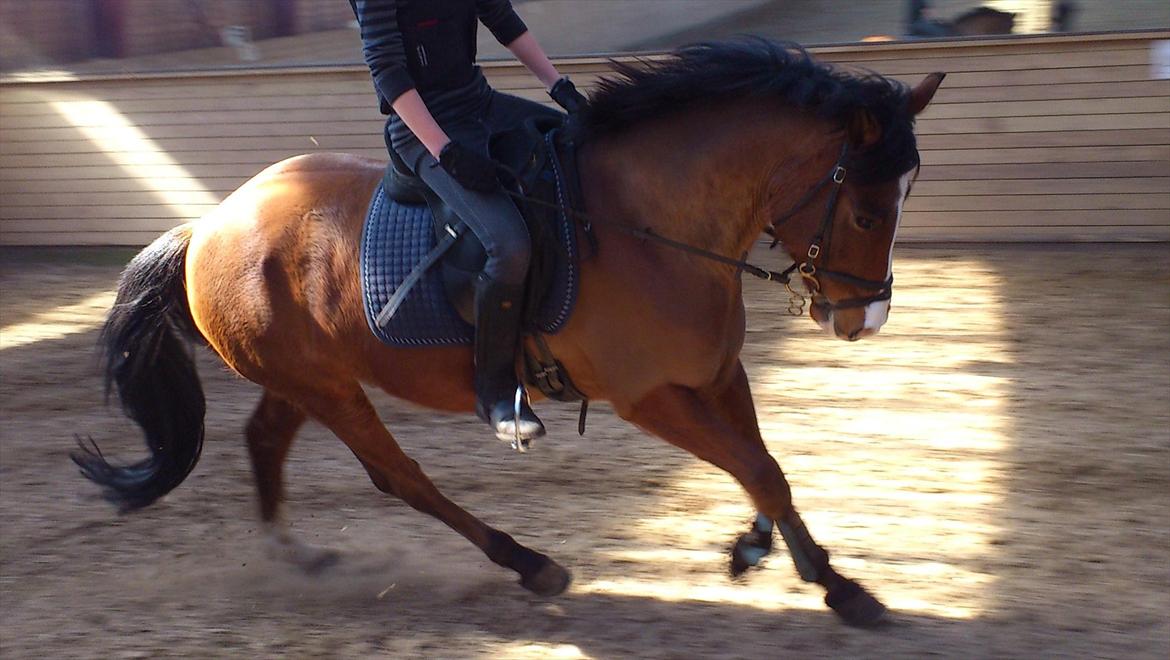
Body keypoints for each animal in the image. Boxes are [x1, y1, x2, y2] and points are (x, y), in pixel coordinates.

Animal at [74, 40, 943, 627]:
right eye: (869, 213)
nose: (863, 319)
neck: (651, 225)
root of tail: (209, 223)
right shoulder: (650, 397)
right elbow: (757, 468)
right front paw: (832, 585)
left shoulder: (718, 372)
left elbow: (765, 468)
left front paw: (782, 559)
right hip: (327, 388)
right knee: (401, 478)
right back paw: (530, 564)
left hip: (305, 379)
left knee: (264, 441)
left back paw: (297, 557)